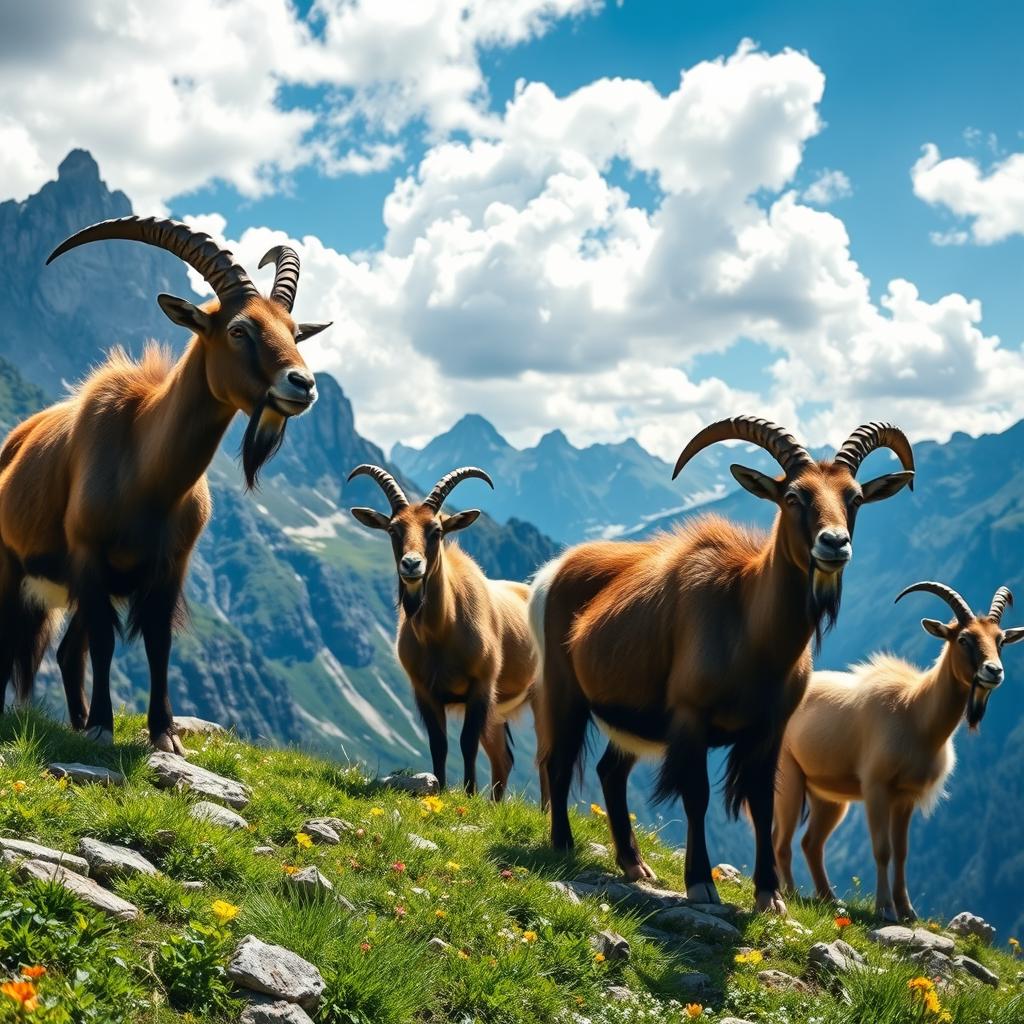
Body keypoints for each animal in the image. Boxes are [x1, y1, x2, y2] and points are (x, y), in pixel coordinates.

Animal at [0, 217, 330, 751]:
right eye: (239, 329)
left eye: (295, 332)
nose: (302, 384)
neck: (145, 475)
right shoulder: (90, 556)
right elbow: (107, 641)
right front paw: (103, 726)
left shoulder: (170, 567)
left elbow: (159, 642)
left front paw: (163, 732)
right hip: (13, 568)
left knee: (68, 651)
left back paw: (76, 720)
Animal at [348, 464, 540, 799]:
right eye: (393, 529)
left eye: (435, 530)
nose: (411, 565)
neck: (442, 633)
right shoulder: (426, 692)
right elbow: (439, 744)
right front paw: (437, 788)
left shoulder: (480, 687)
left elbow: (467, 744)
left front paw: (469, 794)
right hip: (497, 712)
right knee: (503, 759)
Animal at [529, 417, 914, 913]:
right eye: (794, 496)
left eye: (855, 498)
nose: (834, 544)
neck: (749, 628)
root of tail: (553, 571)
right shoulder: (690, 718)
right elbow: (697, 796)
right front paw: (700, 883)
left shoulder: (770, 730)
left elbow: (763, 805)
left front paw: (769, 894)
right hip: (565, 694)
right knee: (558, 762)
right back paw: (563, 845)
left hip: (632, 719)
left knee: (610, 773)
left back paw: (634, 865)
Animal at [774, 581, 1023, 922]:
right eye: (963, 638)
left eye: (1000, 640)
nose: (994, 672)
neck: (915, 711)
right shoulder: (876, 788)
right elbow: (883, 848)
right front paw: (885, 909)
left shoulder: (905, 797)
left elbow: (902, 852)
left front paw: (907, 911)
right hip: (789, 778)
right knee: (782, 841)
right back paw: (790, 892)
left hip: (828, 797)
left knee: (811, 843)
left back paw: (828, 898)